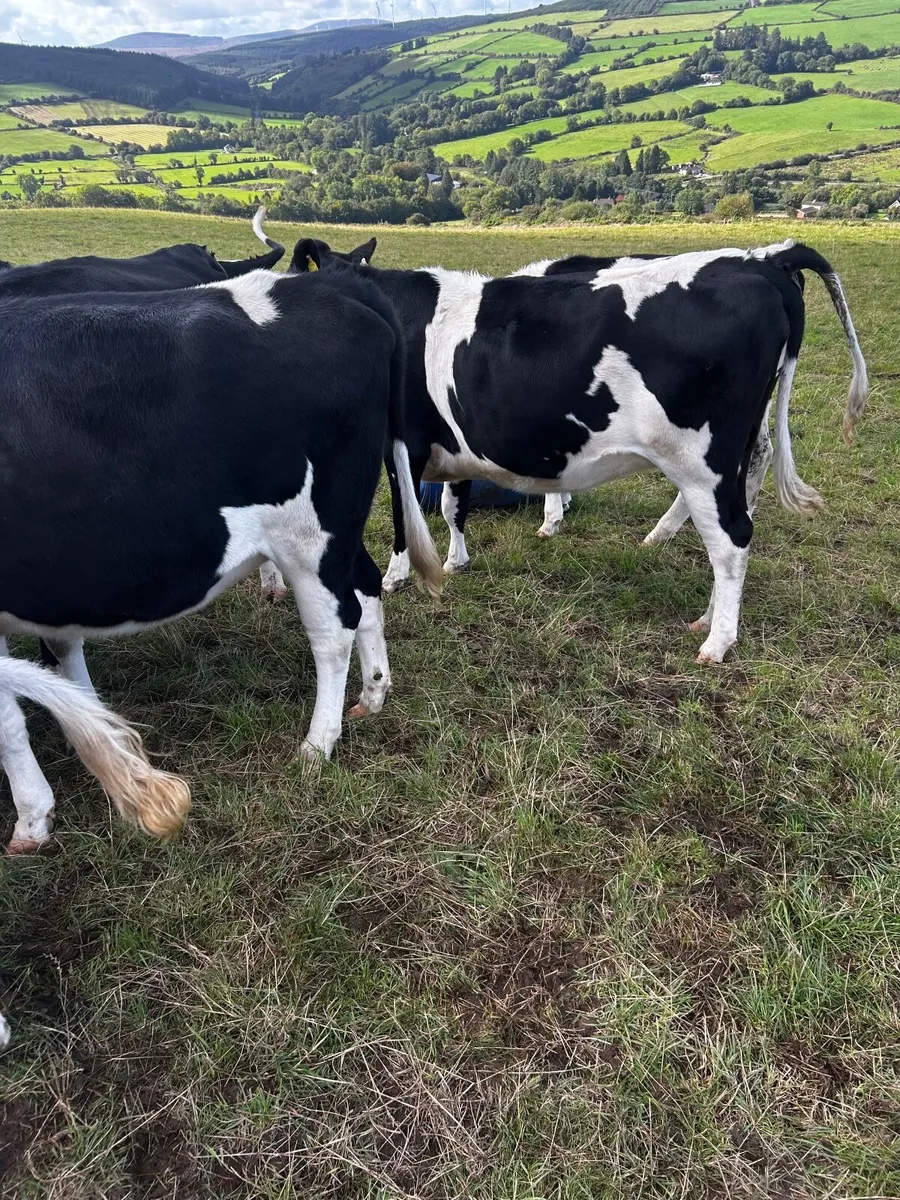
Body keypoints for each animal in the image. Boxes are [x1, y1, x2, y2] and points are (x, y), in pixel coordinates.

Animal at [0, 268, 442, 854]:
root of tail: (335, 286)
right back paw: (371, 696)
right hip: (337, 529)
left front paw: (31, 820)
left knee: (333, 629)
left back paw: (316, 745)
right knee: (366, 589)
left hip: (307, 534)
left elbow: (8, 719)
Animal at [286, 236, 867, 664]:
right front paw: (456, 561)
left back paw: (716, 641)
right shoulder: (451, 444)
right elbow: (452, 505)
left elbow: (403, 520)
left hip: (703, 457)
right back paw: (704, 613)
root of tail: (764, 259)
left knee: (731, 540)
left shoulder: (400, 444)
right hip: (734, 447)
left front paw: (397, 577)